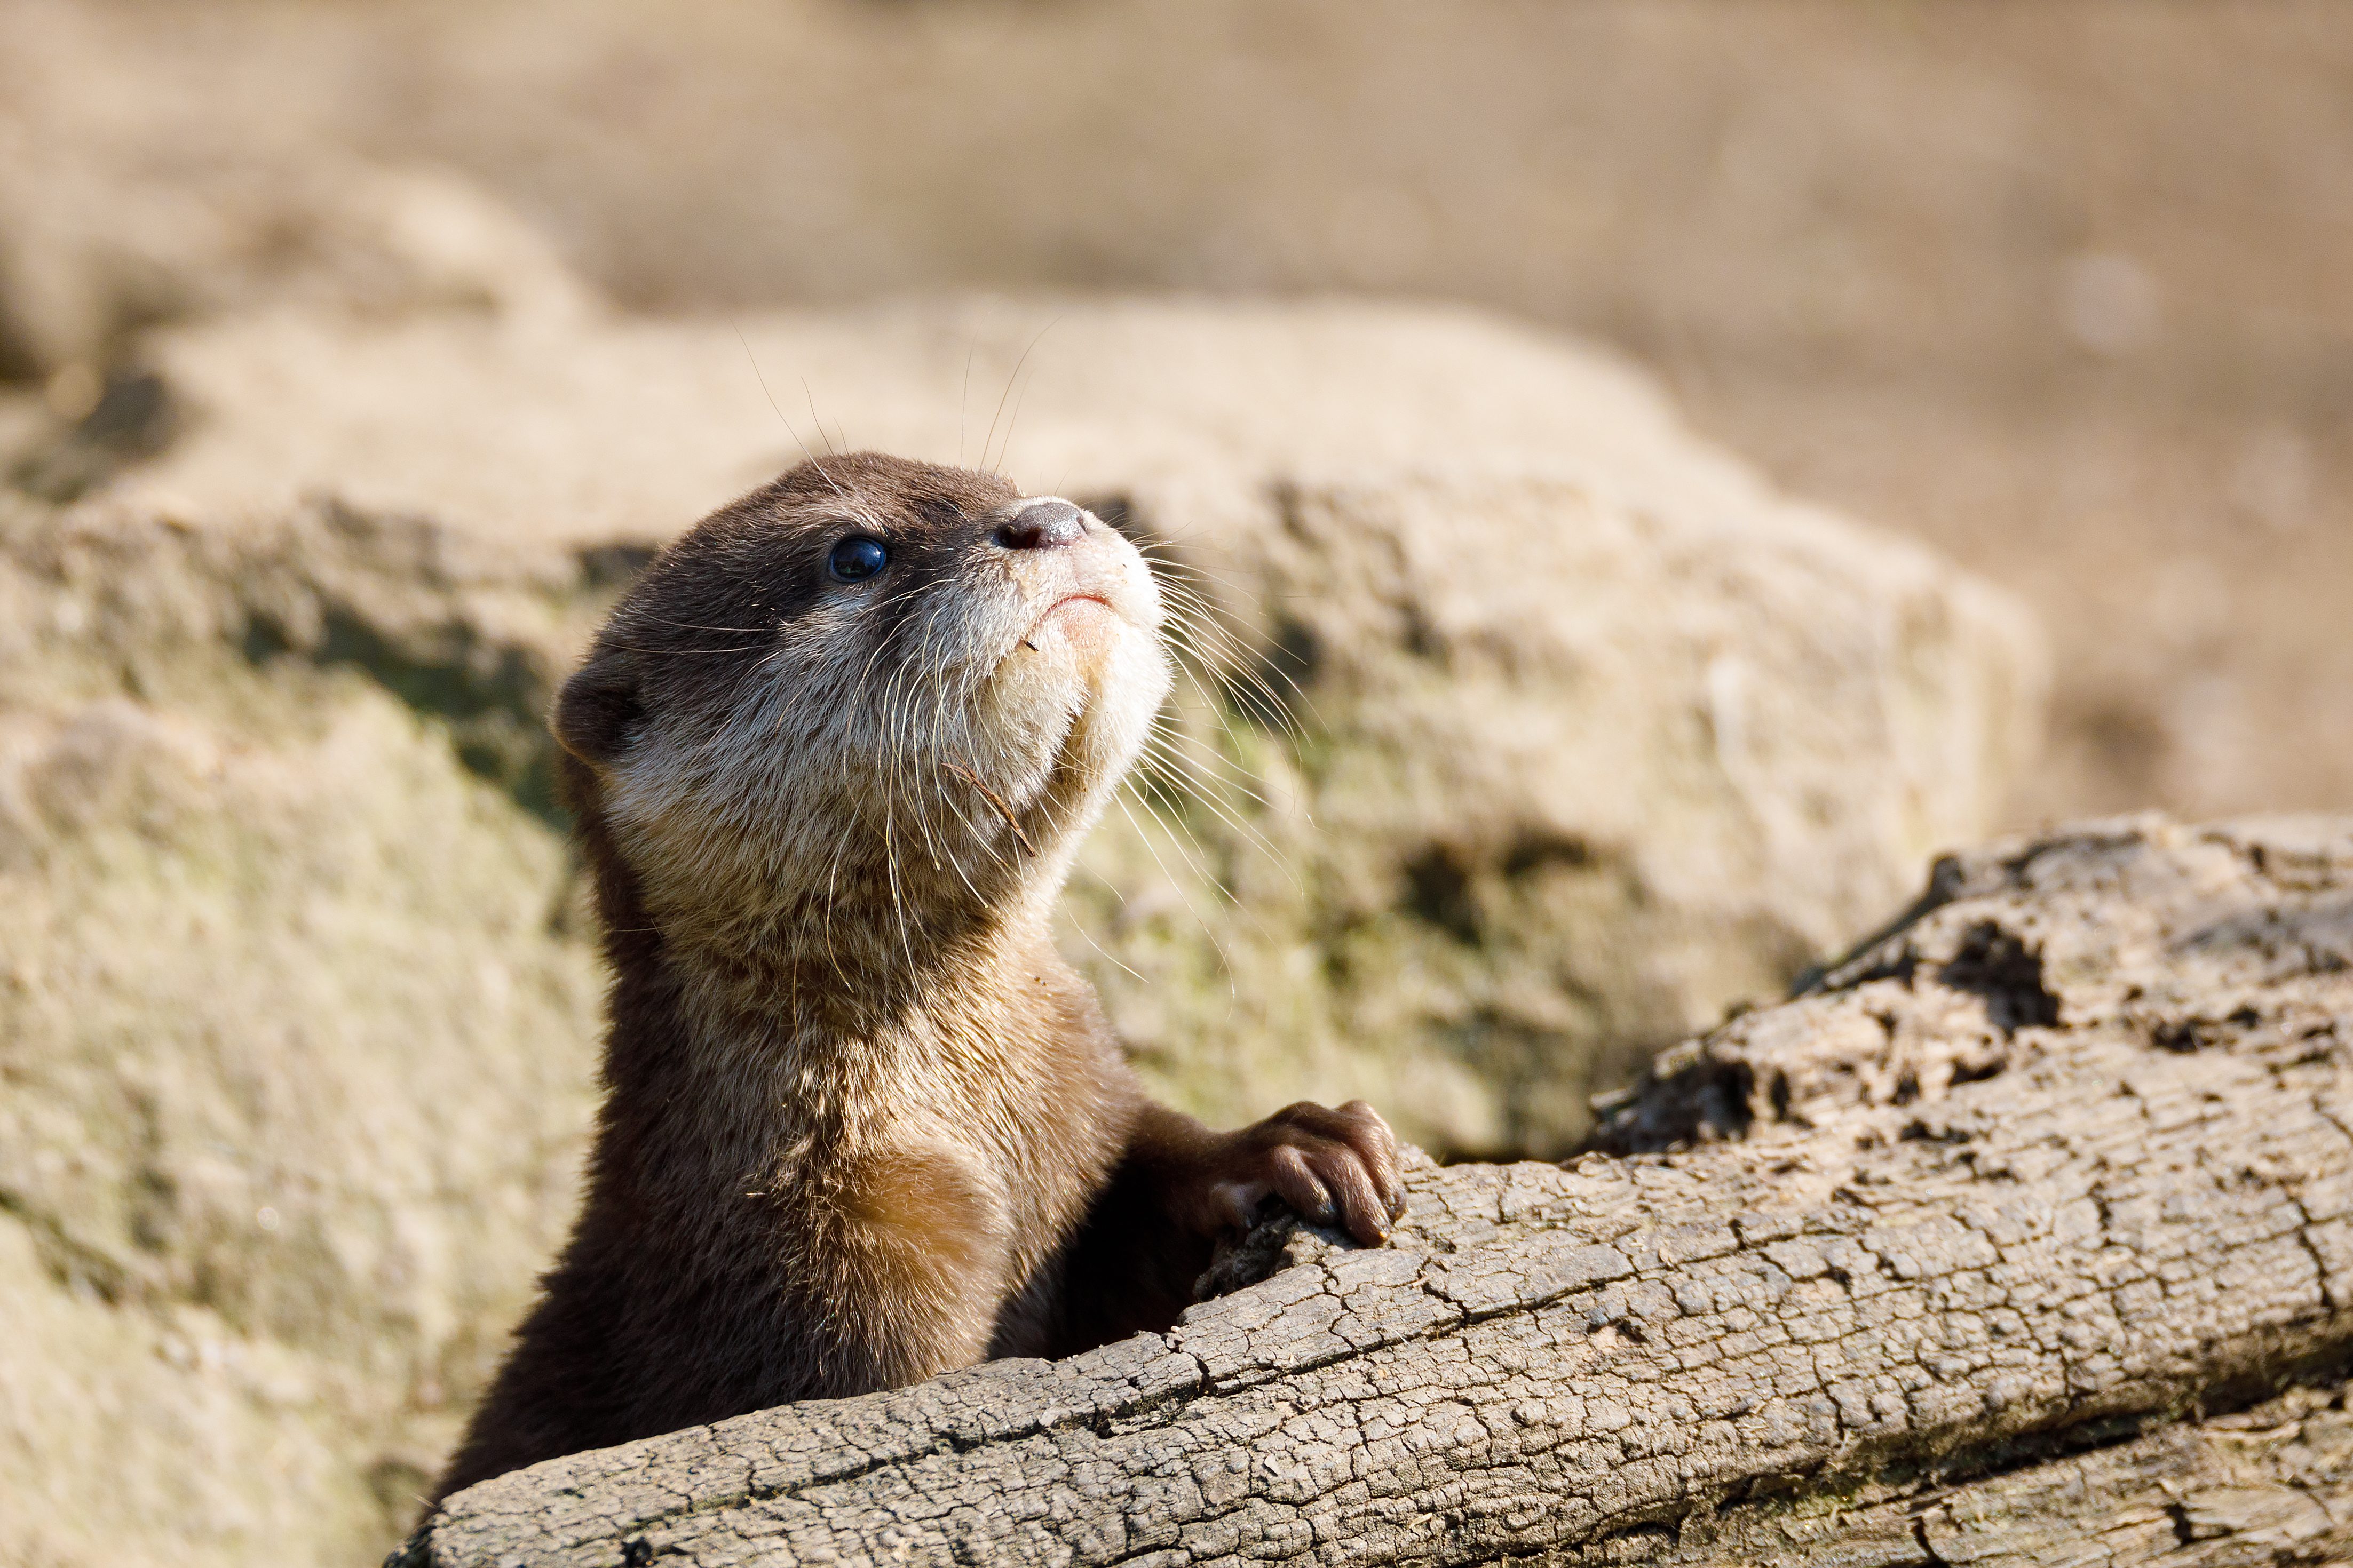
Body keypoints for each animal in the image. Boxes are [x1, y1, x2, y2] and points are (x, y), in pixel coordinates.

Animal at [435, 453, 1402, 1495]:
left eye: (1005, 482)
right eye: (857, 553)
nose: (1050, 518)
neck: (972, 1121)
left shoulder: (1085, 1097)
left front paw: (1298, 1142)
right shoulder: (820, 1265)